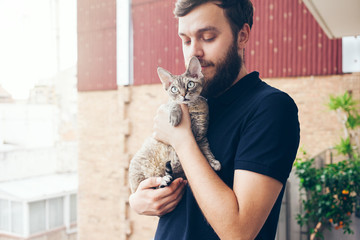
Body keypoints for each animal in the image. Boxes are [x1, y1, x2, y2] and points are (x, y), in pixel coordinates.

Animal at [128, 56, 221, 193]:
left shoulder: (201, 136)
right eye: (174, 89)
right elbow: (174, 103)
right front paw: (175, 115)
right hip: (139, 172)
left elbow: (206, 150)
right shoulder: (166, 105)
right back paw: (162, 180)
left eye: (190, 84)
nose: (183, 94)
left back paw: (165, 179)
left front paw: (213, 161)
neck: (191, 107)